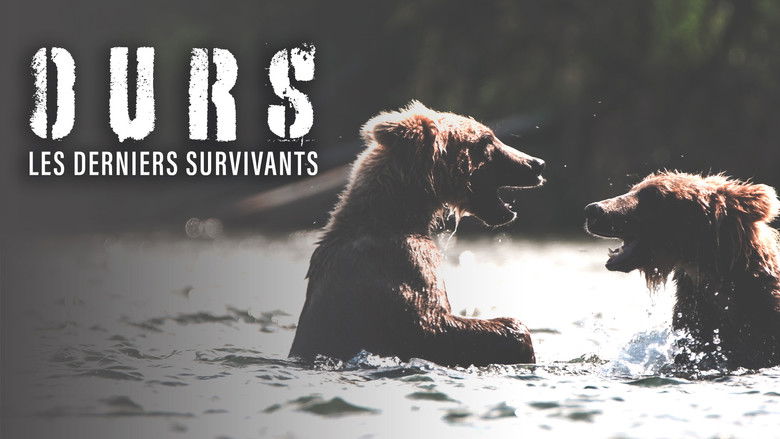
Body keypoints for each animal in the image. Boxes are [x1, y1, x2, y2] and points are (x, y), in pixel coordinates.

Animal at [289, 101, 545, 367]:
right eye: (487, 139)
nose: (537, 163)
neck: (398, 216)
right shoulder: (402, 264)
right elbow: (429, 325)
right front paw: (520, 335)